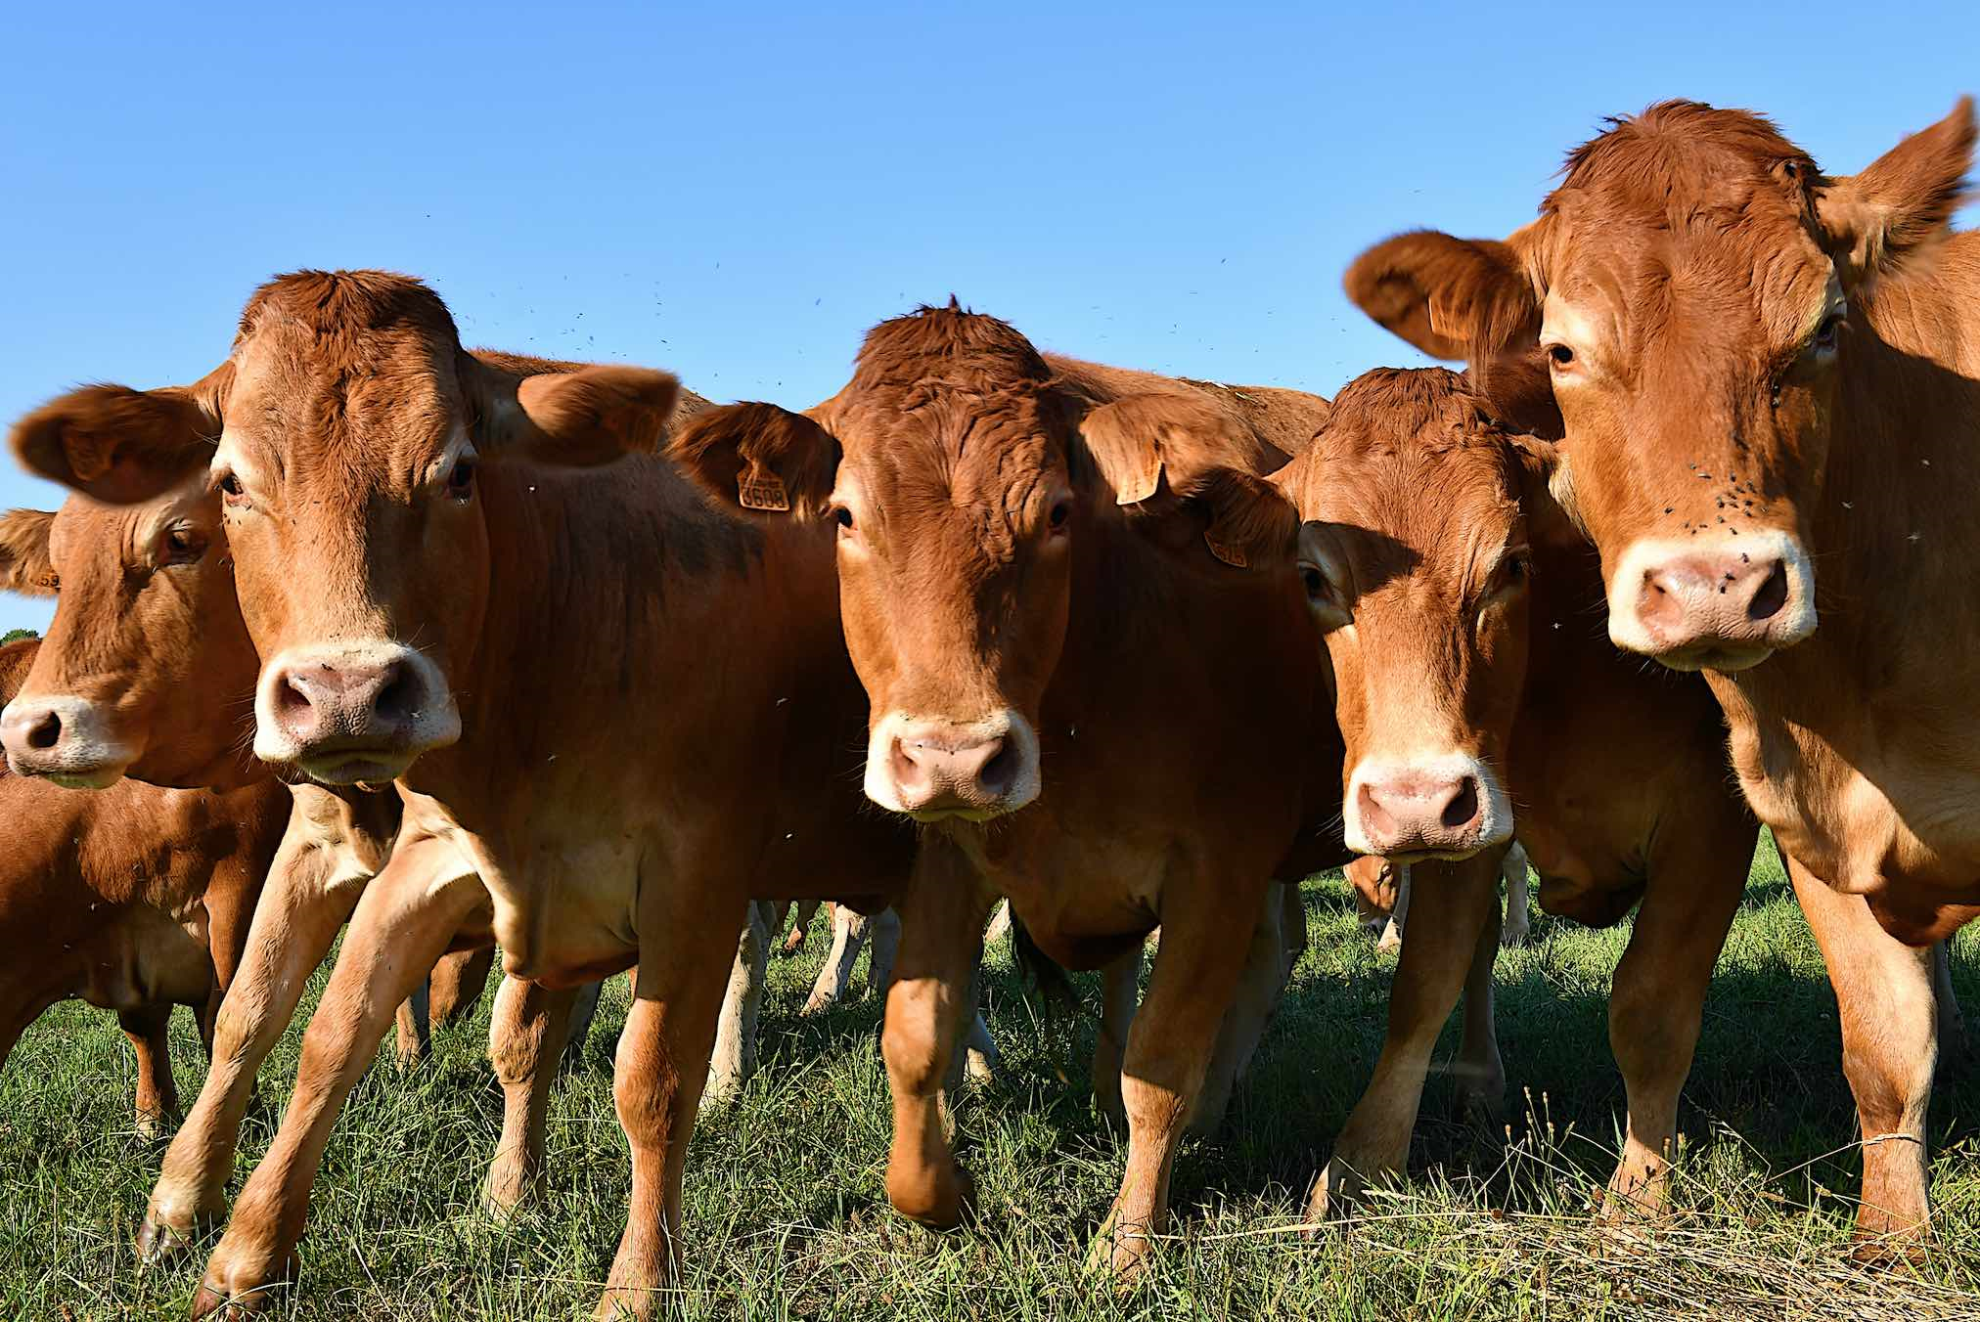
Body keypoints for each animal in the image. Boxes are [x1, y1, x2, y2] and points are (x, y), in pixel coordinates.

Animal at [5, 273, 918, 1314]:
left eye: (459, 474)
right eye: (233, 482)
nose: (348, 691)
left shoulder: (692, 875)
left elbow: (647, 1079)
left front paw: (636, 1280)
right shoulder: (398, 857)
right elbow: (295, 1024)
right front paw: (217, 1232)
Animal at [665, 304, 1346, 1274]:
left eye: (1058, 512)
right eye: (844, 514)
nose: (954, 758)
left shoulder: (1217, 872)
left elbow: (1161, 1067)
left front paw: (1127, 1246)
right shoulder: (955, 857)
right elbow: (915, 1036)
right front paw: (942, 1193)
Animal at [1338, 100, 1972, 1250]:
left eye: (1825, 328)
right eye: (1562, 347)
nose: (1715, 586)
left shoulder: (1715, 816)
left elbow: (1650, 1004)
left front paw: (1637, 1199)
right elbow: (1428, 984)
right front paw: (1355, 1173)